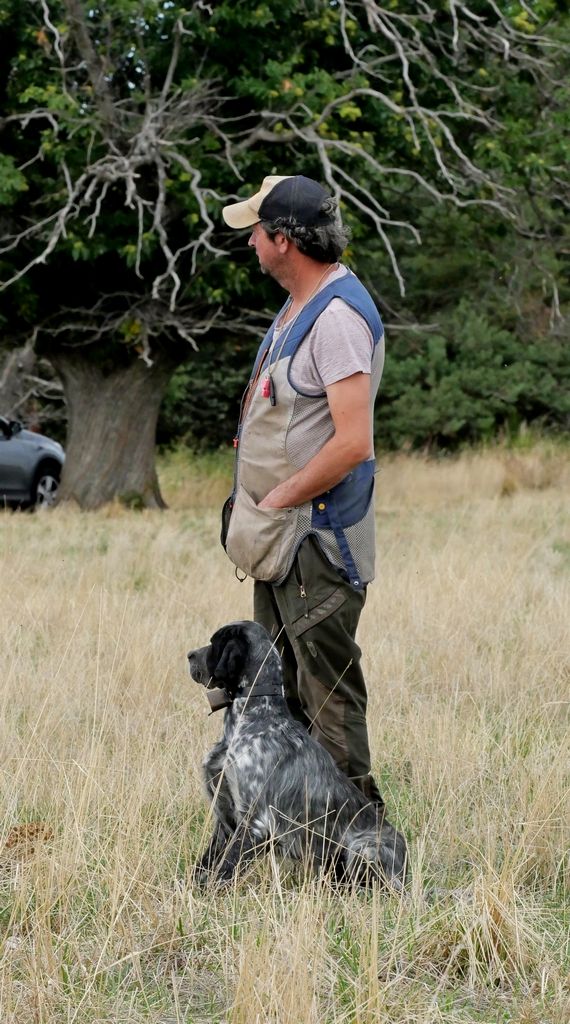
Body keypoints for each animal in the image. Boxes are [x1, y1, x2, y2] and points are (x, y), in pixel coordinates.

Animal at [189, 614, 407, 888]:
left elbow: (224, 870)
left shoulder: (255, 822)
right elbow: (204, 865)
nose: (189, 655)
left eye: (214, 643)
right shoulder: (225, 818)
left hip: (362, 848)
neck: (253, 716)